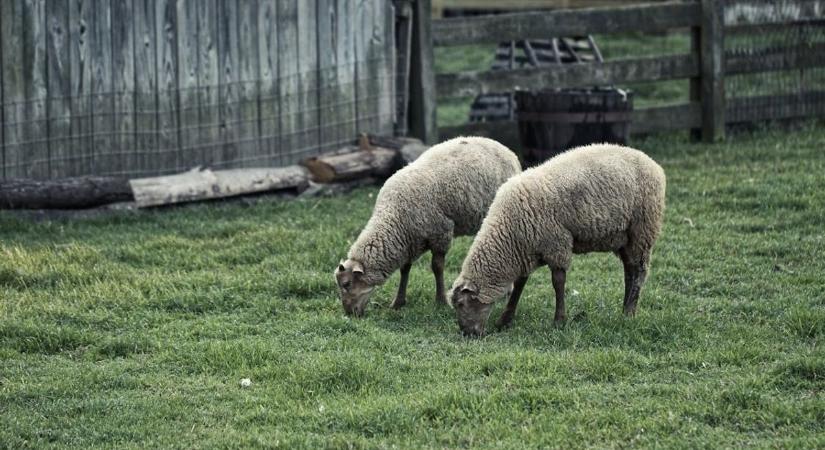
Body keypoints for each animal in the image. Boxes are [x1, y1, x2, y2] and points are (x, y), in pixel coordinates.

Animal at [334, 136, 516, 316]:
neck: (394, 215)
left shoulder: (440, 234)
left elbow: (437, 267)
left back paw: (508, 292)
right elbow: (404, 269)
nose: (349, 313)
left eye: (347, 284)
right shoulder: (410, 242)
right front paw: (398, 302)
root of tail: (500, 145)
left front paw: (441, 301)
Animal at [448, 142, 668, 336]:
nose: (467, 334)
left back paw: (629, 312)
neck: (508, 235)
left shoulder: (556, 244)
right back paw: (625, 310)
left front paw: (559, 321)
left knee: (639, 271)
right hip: (625, 238)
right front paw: (505, 320)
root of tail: (654, 165)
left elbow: (558, 282)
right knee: (629, 271)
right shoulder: (529, 249)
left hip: (642, 229)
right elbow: (519, 284)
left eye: (461, 304)